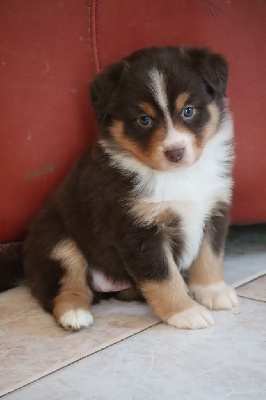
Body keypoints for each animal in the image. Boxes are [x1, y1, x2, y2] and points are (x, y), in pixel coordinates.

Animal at [23, 44, 239, 332]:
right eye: (144, 120)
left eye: (188, 110)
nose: (175, 152)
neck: (177, 176)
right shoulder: (138, 228)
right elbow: (162, 276)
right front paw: (185, 311)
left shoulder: (214, 208)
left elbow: (209, 256)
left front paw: (213, 291)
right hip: (56, 239)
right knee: (65, 285)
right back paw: (75, 313)